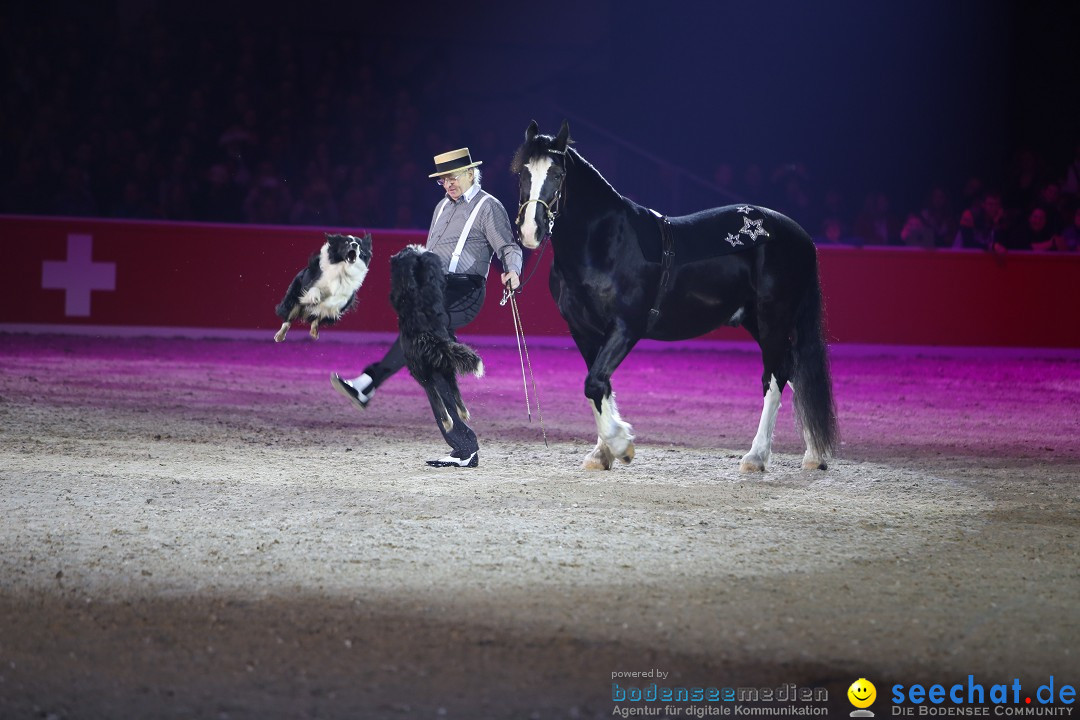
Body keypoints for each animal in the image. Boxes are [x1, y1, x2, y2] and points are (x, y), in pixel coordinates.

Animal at [390, 245, 483, 433]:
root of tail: (429, 337)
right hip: (446, 365)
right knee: (453, 385)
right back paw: (463, 413)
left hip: (418, 369)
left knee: (433, 391)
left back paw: (447, 421)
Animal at [509, 122, 838, 472]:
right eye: (522, 173)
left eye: (558, 174)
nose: (530, 231)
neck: (605, 242)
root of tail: (799, 235)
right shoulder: (584, 331)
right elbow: (599, 385)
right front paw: (601, 453)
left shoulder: (626, 327)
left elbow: (595, 383)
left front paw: (622, 445)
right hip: (756, 320)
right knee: (793, 371)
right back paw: (814, 455)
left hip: (773, 318)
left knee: (775, 376)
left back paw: (756, 456)